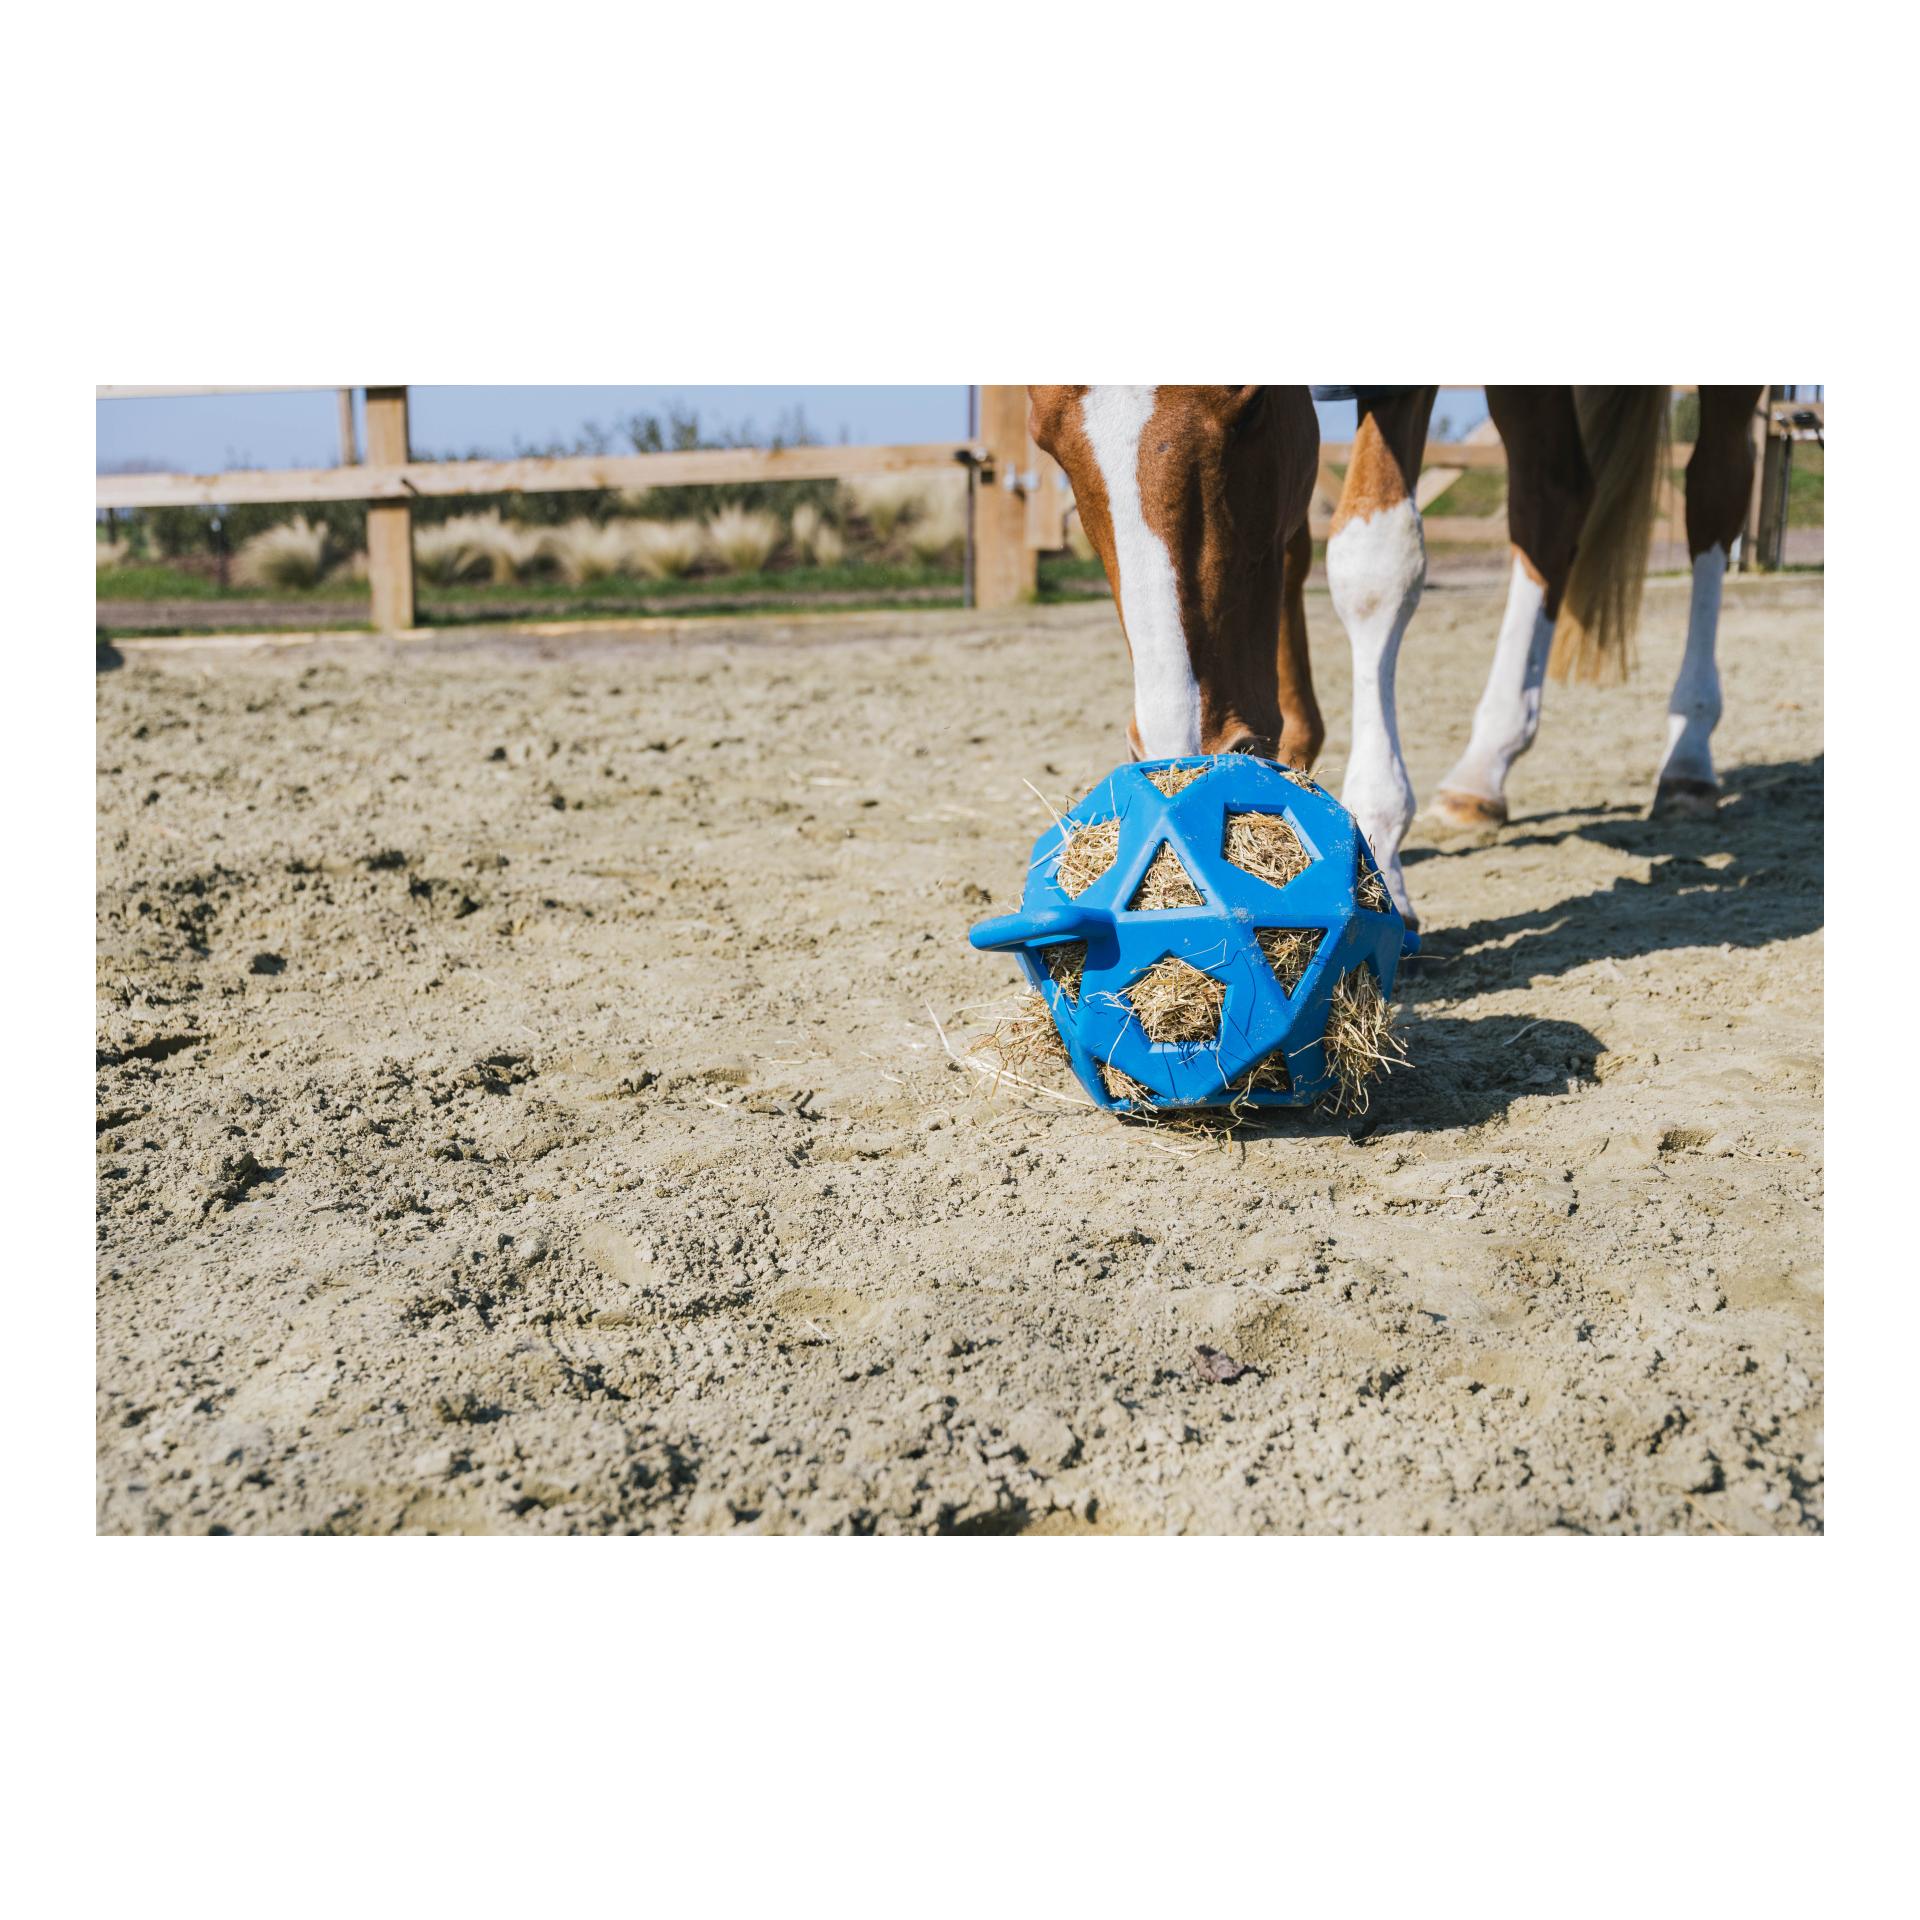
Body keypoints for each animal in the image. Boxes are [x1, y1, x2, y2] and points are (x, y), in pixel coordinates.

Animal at [1026, 384, 1762, 931]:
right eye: (1044, 441)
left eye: (1252, 407)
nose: (1183, 754)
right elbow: (1294, 544)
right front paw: (1296, 761)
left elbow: (1372, 562)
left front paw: (1377, 846)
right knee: (1553, 496)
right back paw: (1484, 770)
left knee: (1716, 486)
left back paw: (1689, 752)